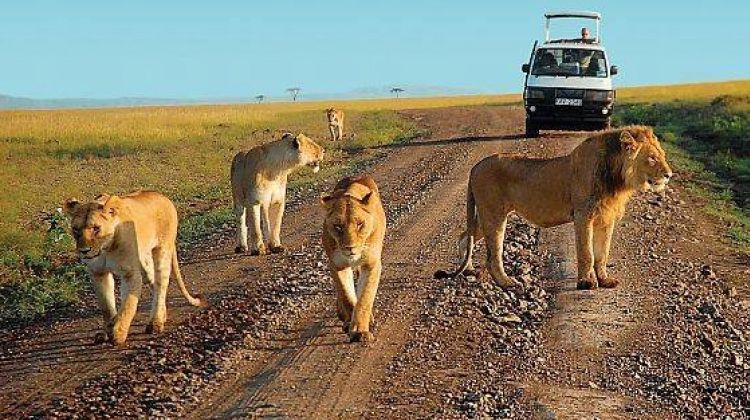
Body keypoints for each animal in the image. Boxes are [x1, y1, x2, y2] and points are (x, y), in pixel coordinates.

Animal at [63, 191, 207, 346]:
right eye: (75, 229)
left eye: (96, 228)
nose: (84, 251)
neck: (106, 248)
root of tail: (162, 196)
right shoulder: (98, 273)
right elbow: (106, 305)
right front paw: (108, 329)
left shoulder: (130, 273)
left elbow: (128, 305)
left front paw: (118, 333)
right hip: (145, 263)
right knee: (154, 283)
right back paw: (162, 315)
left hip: (162, 251)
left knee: (161, 285)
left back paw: (155, 323)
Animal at [321, 175, 386, 342]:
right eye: (338, 227)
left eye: (360, 224)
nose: (350, 248)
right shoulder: (337, 264)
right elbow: (346, 295)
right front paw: (349, 322)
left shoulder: (371, 264)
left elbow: (364, 298)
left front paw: (360, 331)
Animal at [436, 125, 672, 290]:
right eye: (652, 158)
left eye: (663, 155)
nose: (669, 174)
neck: (616, 178)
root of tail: (475, 166)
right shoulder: (583, 215)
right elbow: (586, 252)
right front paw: (586, 282)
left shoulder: (607, 218)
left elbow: (602, 253)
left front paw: (605, 280)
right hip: (493, 214)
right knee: (492, 255)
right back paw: (507, 283)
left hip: (486, 215)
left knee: (465, 236)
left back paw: (467, 270)